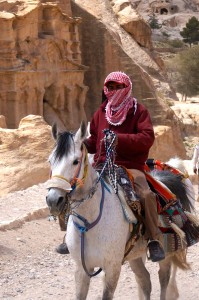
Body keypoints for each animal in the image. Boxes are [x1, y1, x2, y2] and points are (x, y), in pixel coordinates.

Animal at [46, 122, 196, 300]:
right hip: (135, 255)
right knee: (145, 280)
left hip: (166, 251)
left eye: (75, 161)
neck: (89, 224)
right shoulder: (82, 269)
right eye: (50, 161)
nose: (53, 200)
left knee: (163, 277)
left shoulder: (112, 268)